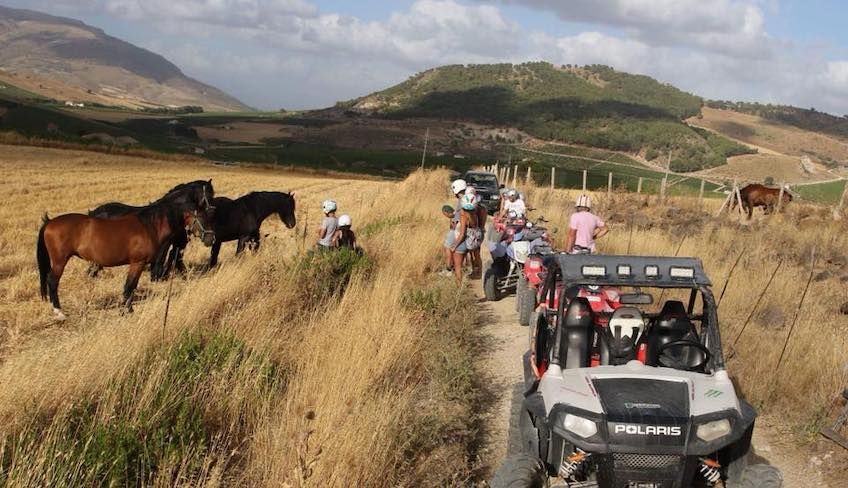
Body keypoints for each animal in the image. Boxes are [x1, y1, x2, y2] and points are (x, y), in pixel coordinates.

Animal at [37, 201, 215, 320]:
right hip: (60, 261)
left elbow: (130, 287)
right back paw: (59, 312)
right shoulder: (137, 263)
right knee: (52, 281)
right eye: (201, 217)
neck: (149, 226)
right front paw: (128, 311)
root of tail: (50, 222)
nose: (211, 239)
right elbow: (130, 286)